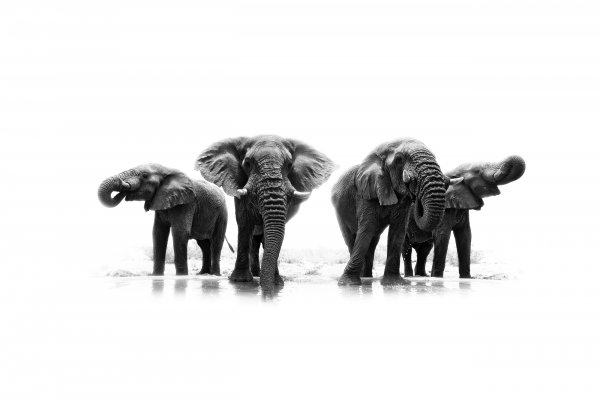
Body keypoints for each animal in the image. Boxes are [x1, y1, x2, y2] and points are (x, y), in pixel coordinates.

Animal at [97, 162, 231, 276]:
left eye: (144, 175)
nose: (122, 184)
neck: (167, 170)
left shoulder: (187, 203)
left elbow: (180, 232)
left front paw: (181, 277)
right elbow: (158, 233)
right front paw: (156, 276)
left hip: (222, 213)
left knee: (216, 242)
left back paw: (215, 275)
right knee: (204, 245)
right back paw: (203, 274)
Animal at [197, 134, 338, 290]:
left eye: (289, 165)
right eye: (247, 163)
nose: (267, 289)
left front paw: (277, 283)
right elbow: (244, 221)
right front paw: (240, 281)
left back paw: (259, 275)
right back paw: (256, 275)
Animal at [330, 139, 448, 286]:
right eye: (399, 159)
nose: (415, 193)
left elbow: (398, 230)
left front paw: (394, 283)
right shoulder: (366, 191)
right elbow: (367, 228)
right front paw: (348, 284)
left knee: (373, 240)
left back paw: (367, 277)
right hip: (339, 211)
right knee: (352, 238)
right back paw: (362, 277)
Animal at [400, 155, 528, 280]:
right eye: (478, 171)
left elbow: (465, 235)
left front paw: (466, 277)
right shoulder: (445, 208)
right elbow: (442, 235)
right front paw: (437, 277)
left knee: (425, 249)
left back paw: (422, 275)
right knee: (406, 247)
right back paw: (410, 276)